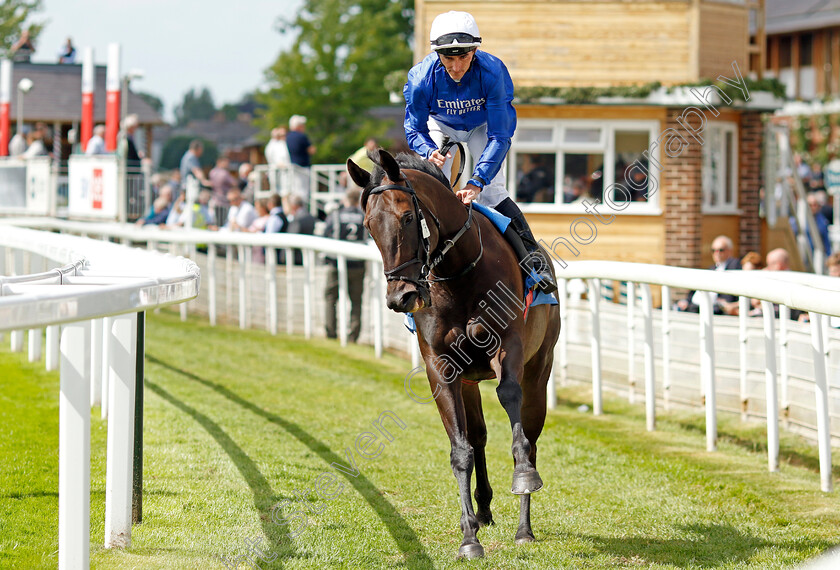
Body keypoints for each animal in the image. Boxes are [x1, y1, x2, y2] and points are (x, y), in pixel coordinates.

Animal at [344, 149, 560, 556]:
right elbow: (461, 449)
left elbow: (511, 402)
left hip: (540, 369)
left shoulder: (509, 345)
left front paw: (523, 478)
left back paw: (524, 525)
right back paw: (484, 508)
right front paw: (469, 536)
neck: (458, 271)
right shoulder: (441, 367)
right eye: (368, 225)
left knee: (532, 435)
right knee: (478, 436)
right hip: (470, 382)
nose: (401, 297)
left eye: (407, 216)